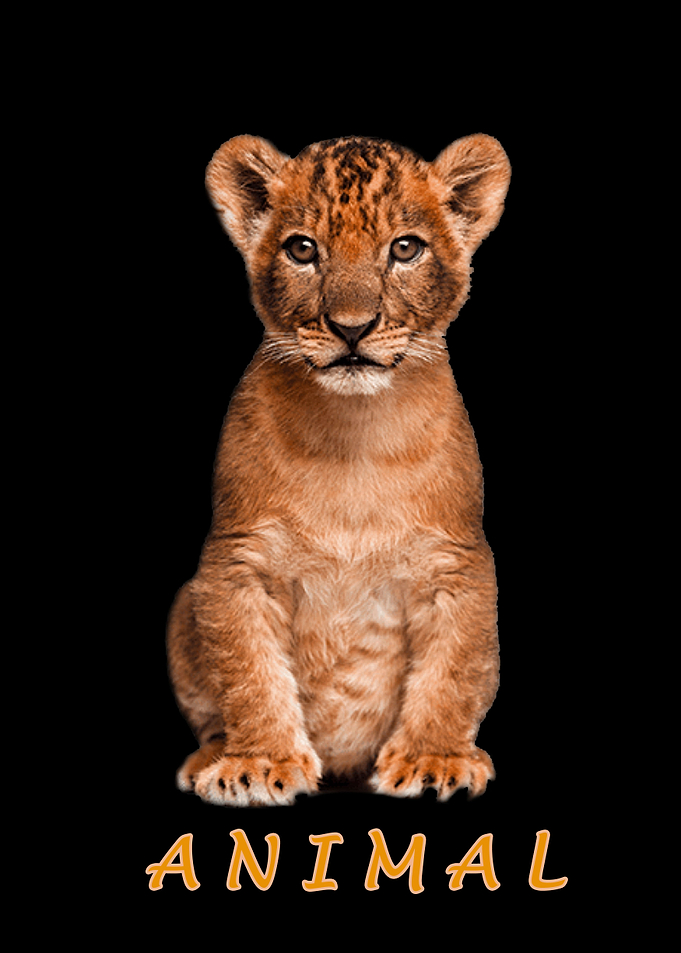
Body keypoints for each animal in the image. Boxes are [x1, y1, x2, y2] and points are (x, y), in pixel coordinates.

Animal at [167, 133, 511, 806]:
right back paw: (212, 757)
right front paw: (261, 761)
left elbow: (453, 671)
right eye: (303, 249)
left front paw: (434, 759)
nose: (353, 329)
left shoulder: (456, 563)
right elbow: (248, 672)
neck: (354, 439)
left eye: (405, 248)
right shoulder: (238, 561)